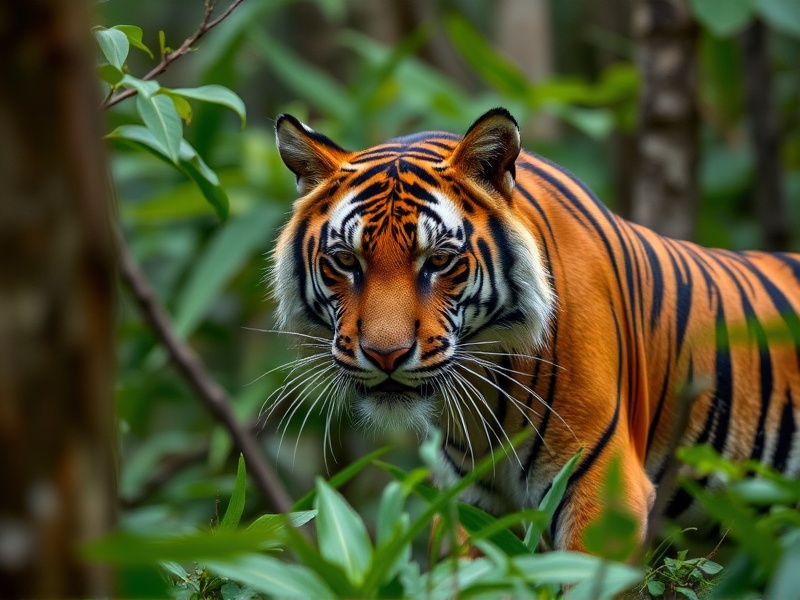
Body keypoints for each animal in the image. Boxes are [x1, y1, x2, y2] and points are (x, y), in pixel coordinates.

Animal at [271, 107, 800, 554]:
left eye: (439, 261)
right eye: (346, 261)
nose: (385, 355)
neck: (485, 390)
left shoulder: (603, 486)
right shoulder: (468, 503)